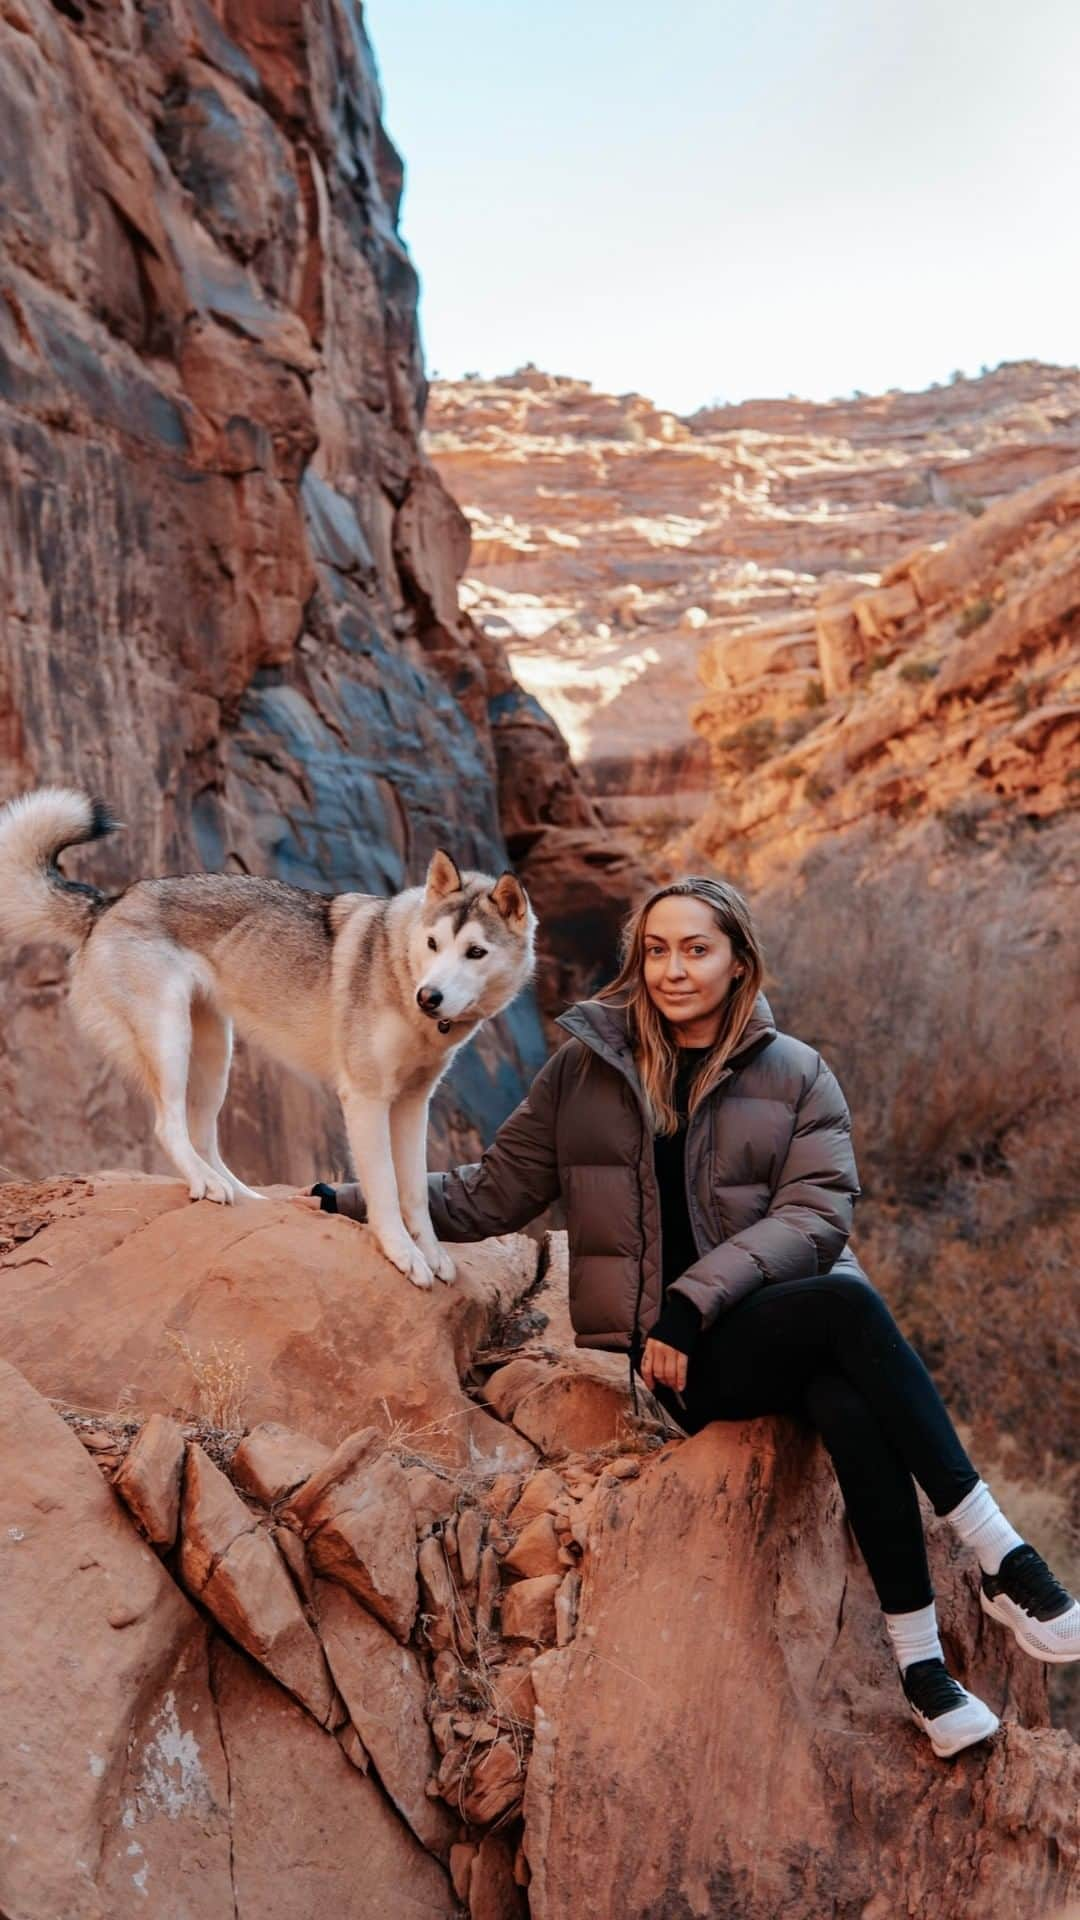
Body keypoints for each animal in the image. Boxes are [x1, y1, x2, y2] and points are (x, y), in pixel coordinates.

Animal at [0, 779, 534, 1290]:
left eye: (475, 952)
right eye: (433, 944)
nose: (429, 997)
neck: (399, 967)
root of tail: (108, 903)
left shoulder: (411, 1104)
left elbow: (416, 1194)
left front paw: (433, 1255)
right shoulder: (366, 1100)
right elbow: (384, 1190)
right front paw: (404, 1255)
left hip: (215, 1058)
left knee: (203, 1135)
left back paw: (243, 1195)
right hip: (170, 1040)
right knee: (169, 1126)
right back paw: (207, 1185)